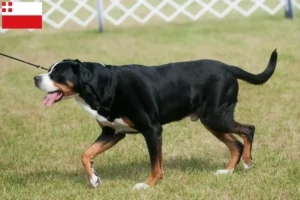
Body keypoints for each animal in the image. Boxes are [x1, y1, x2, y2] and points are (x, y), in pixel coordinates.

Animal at [32, 49, 276, 189]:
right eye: (49, 71)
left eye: (56, 74)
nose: (35, 78)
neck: (102, 85)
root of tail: (228, 67)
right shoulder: (113, 132)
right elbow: (86, 155)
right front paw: (94, 179)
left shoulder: (152, 130)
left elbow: (155, 164)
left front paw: (147, 185)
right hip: (212, 121)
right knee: (235, 144)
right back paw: (227, 171)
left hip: (216, 117)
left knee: (248, 130)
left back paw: (247, 162)